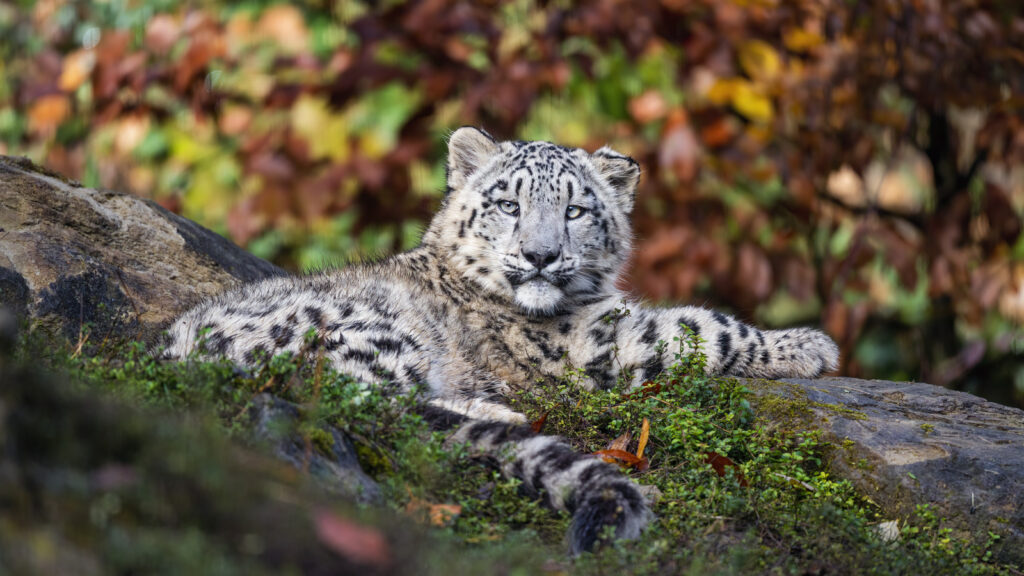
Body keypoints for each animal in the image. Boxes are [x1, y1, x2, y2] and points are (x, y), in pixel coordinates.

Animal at [161, 127, 839, 554]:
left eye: (575, 211)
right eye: (508, 204)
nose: (540, 256)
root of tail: (177, 354)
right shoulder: (594, 341)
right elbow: (703, 327)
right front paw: (808, 346)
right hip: (370, 331)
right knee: (371, 405)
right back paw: (500, 413)